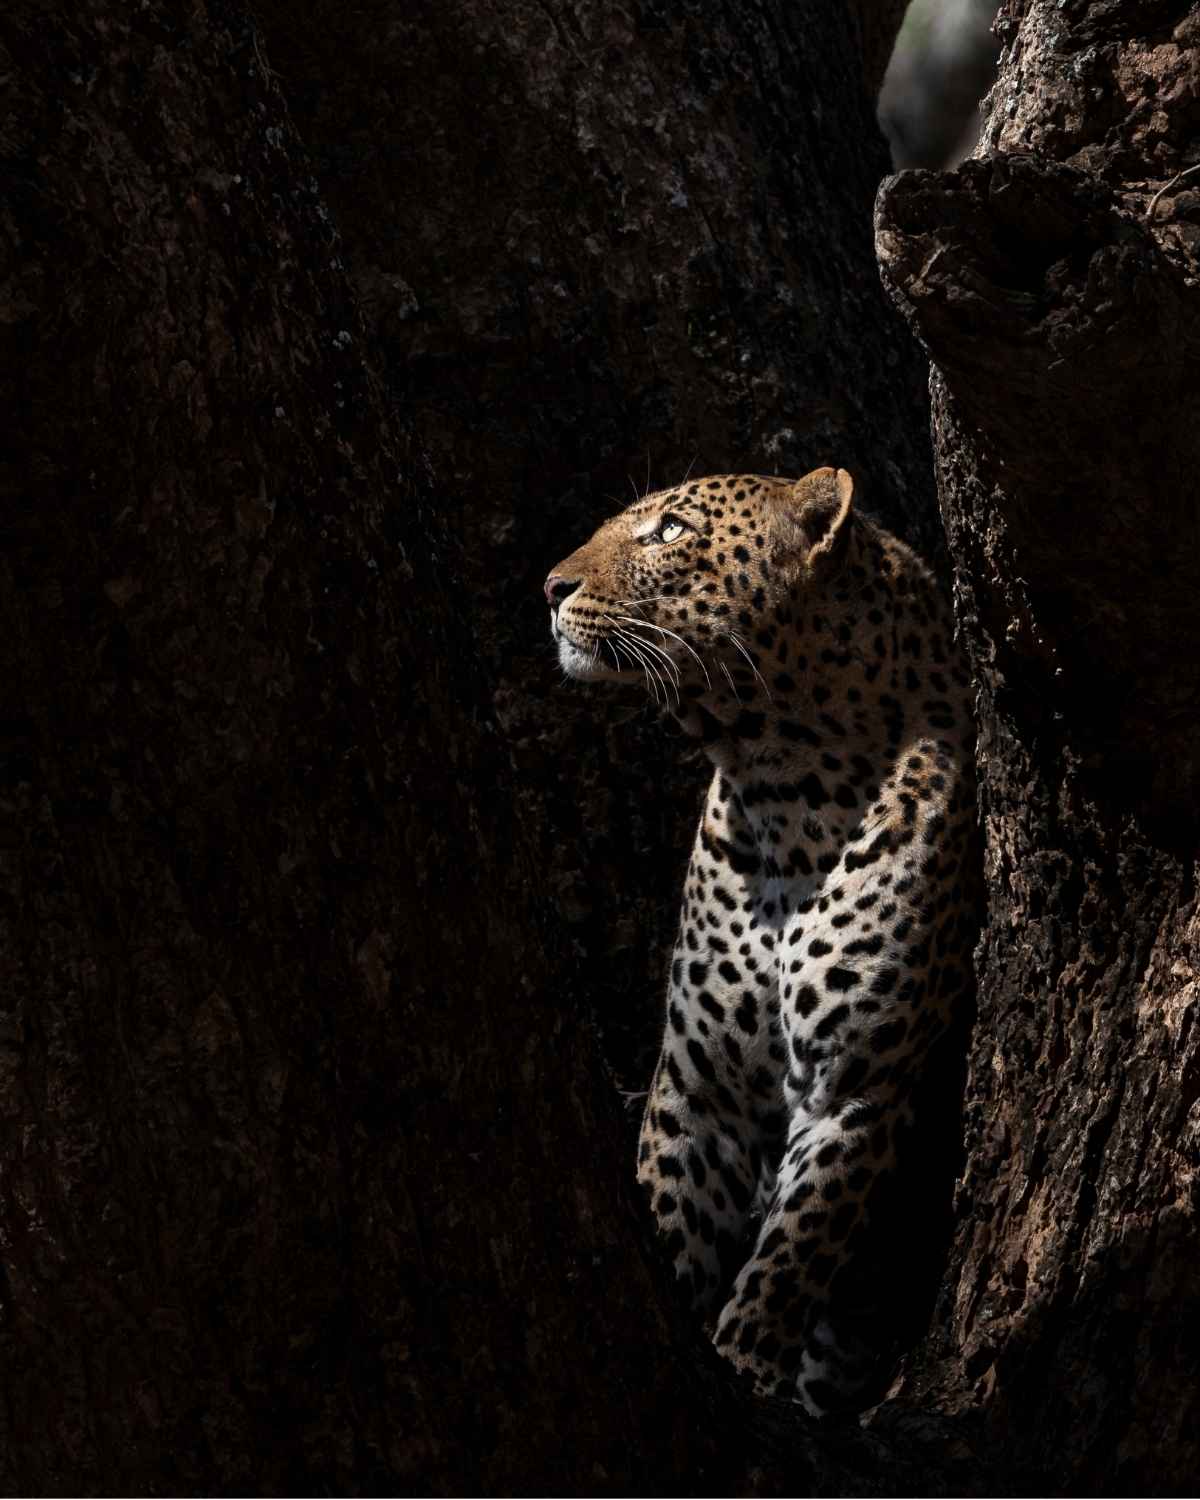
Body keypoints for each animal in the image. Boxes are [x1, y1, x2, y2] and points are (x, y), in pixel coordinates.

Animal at [544, 467, 977, 1417]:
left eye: (670, 531)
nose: (550, 588)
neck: (787, 789)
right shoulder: (697, 1084)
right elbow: (675, 1214)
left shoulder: (855, 1091)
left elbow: (788, 1261)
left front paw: (742, 1366)